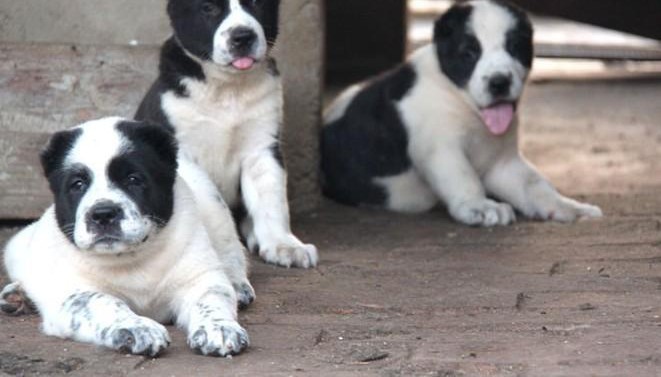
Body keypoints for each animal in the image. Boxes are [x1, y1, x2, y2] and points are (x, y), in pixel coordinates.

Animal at [1, 117, 255, 356]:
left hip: (214, 207)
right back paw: (18, 295)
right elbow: (103, 301)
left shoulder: (200, 278)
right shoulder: (72, 294)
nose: (103, 214)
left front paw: (218, 327)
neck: (131, 258)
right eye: (78, 184)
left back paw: (238, 285)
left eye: (133, 179)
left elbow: (211, 299)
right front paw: (138, 328)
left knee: (231, 252)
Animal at [320, 0, 604, 226]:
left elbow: (534, 183)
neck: (462, 102)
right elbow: (462, 175)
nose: (499, 82)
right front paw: (479, 206)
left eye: (515, 47)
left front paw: (566, 205)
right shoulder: (440, 148)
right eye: (469, 53)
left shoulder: (503, 162)